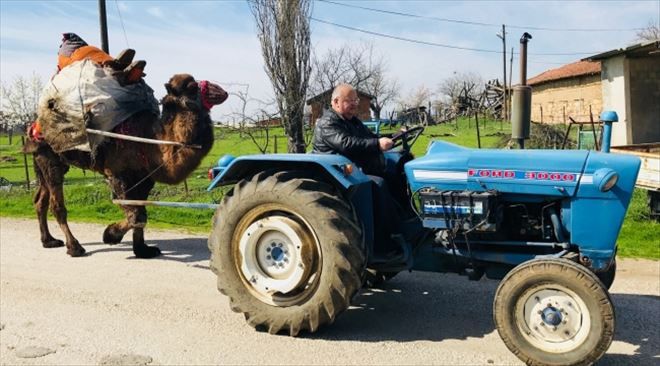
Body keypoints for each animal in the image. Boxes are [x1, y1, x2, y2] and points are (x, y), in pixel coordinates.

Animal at [26, 73, 227, 258]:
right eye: (192, 87)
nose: (222, 92)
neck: (152, 141)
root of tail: (34, 126)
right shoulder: (117, 173)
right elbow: (137, 214)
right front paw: (110, 235)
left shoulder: (144, 177)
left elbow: (141, 210)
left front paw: (142, 250)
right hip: (49, 157)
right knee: (56, 204)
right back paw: (74, 247)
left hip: (44, 160)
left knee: (40, 200)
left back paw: (49, 241)